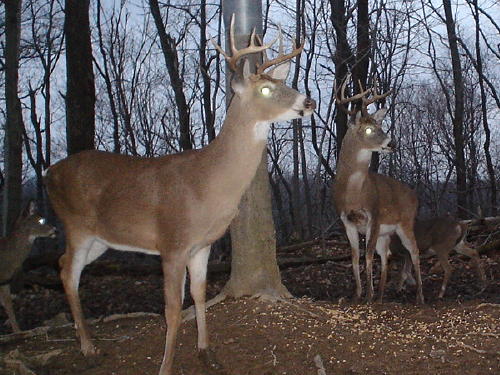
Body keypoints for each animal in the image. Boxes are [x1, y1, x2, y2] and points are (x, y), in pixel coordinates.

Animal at [45, 16, 314, 375]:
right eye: (266, 89)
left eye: (282, 82)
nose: (309, 103)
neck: (207, 185)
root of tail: (49, 172)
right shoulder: (172, 243)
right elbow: (172, 309)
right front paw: (166, 366)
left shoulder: (202, 245)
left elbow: (199, 295)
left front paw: (207, 352)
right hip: (76, 225)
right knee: (68, 273)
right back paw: (88, 349)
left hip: (101, 238)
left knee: (63, 265)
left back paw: (88, 343)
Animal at [332, 76, 426, 306]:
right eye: (368, 129)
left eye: (380, 125)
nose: (392, 143)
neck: (354, 192)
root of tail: (415, 195)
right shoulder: (346, 220)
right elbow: (354, 257)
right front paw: (357, 294)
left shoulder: (373, 216)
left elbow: (367, 255)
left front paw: (368, 295)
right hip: (387, 232)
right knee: (386, 255)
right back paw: (383, 295)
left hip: (405, 222)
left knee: (414, 251)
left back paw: (419, 296)